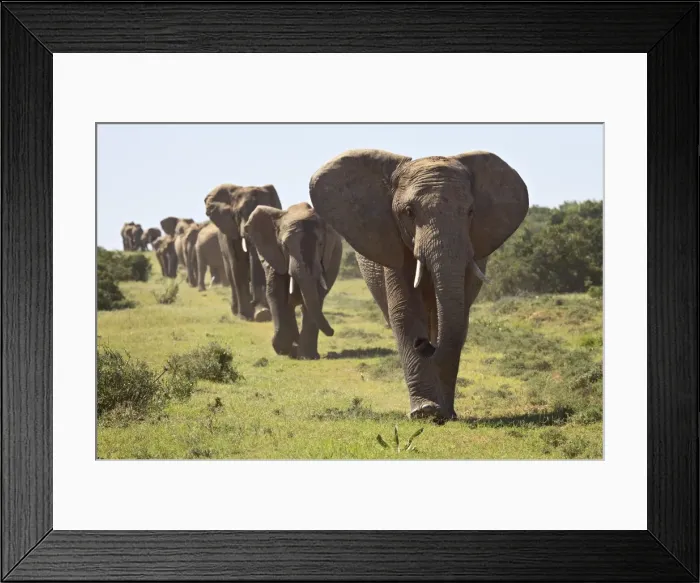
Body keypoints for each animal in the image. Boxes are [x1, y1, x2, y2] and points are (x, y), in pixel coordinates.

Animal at [204, 183, 282, 322]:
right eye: (239, 213)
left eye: (265, 214)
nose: (253, 302)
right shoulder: (230, 230)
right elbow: (238, 264)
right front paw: (245, 316)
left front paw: (262, 314)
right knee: (230, 275)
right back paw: (235, 311)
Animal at [243, 202, 343, 360]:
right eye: (285, 247)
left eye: (321, 245)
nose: (332, 332)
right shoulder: (275, 255)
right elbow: (277, 294)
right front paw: (282, 349)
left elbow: (315, 297)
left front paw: (307, 356)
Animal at [309, 149, 528, 421]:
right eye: (409, 212)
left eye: (470, 212)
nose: (425, 345)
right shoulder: (392, 240)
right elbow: (404, 310)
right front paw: (425, 412)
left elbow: (459, 315)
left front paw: (443, 413)